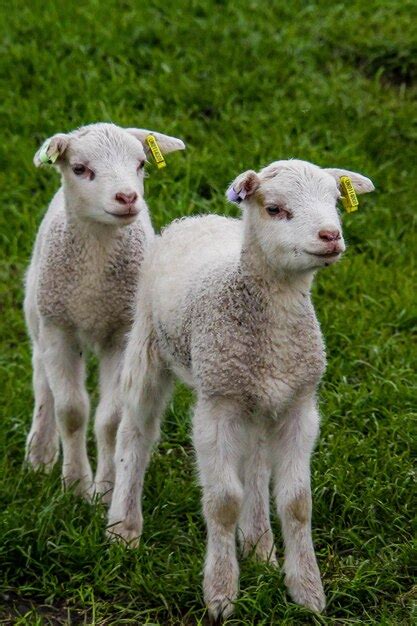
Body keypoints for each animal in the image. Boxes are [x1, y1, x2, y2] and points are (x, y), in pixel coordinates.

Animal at [24, 123, 184, 502]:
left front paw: (106, 490)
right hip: (37, 309)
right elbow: (71, 411)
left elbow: (110, 420)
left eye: (141, 164)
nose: (127, 197)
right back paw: (40, 450)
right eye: (80, 168)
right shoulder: (59, 328)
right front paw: (75, 485)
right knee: (41, 377)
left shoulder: (121, 333)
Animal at [107, 158, 374, 616]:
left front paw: (307, 591)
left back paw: (259, 546)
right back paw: (123, 528)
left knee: (256, 463)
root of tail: (198, 219)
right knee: (135, 433)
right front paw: (220, 593)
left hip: (258, 398)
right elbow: (223, 501)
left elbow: (297, 502)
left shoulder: (299, 404)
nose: (330, 236)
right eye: (275, 209)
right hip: (147, 343)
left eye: (335, 202)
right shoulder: (217, 405)